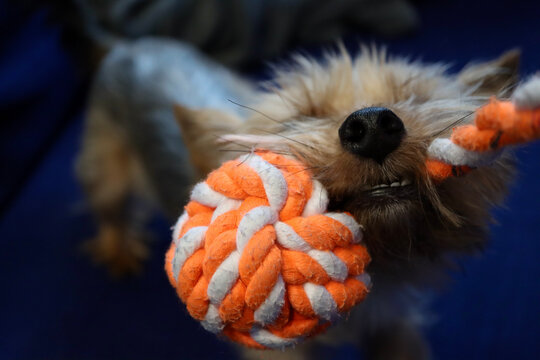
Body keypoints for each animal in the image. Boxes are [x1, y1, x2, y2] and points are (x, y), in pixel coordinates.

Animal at [76, 38, 520, 358]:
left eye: (415, 98)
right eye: (305, 114)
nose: (372, 124)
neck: (380, 260)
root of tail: (130, 46)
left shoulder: (394, 323)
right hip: (106, 157)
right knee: (108, 204)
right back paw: (117, 247)